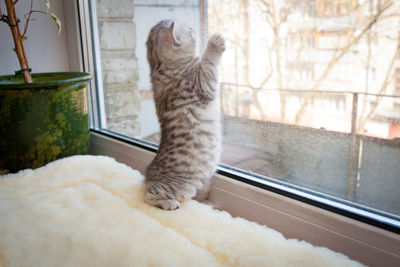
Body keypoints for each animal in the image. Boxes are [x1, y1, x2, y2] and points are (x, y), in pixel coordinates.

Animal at [144, 19, 225, 210]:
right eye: (189, 30)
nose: (193, 27)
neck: (160, 68)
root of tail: (149, 174)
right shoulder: (203, 83)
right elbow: (208, 62)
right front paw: (214, 43)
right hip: (182, 187)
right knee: (148, 195)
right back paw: (168, 203)